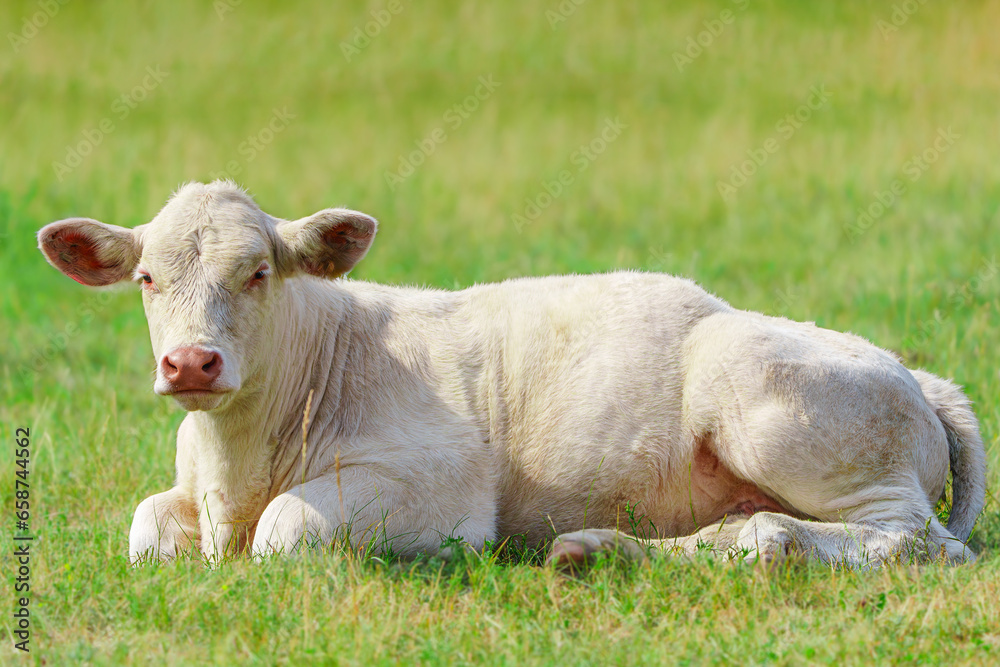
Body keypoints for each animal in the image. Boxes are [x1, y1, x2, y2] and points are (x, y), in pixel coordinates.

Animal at [38, 180, 986, 568]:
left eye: (259, 272)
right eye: (146, 278)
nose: (191, 362)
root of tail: (919, 377)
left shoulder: (442, 483)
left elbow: (285, 529)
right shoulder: (183, 492)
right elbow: (146, 528)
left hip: (772, 404)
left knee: (911, 540)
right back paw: (597, 552)